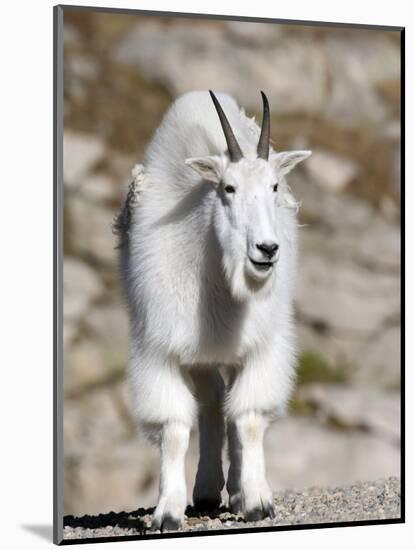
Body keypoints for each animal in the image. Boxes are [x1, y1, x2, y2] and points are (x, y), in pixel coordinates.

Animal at [115, 91, 310, 536]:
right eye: (228, 188)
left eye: (275, 185)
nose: (267, 250)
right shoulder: (162, 350)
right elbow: (173, 430)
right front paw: (166, 512)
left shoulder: (261, 347)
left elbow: (249, 417)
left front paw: (256, 502)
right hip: (200, 357)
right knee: (212, 401)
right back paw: (206, 491)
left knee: (230, 406)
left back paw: (236, 490)